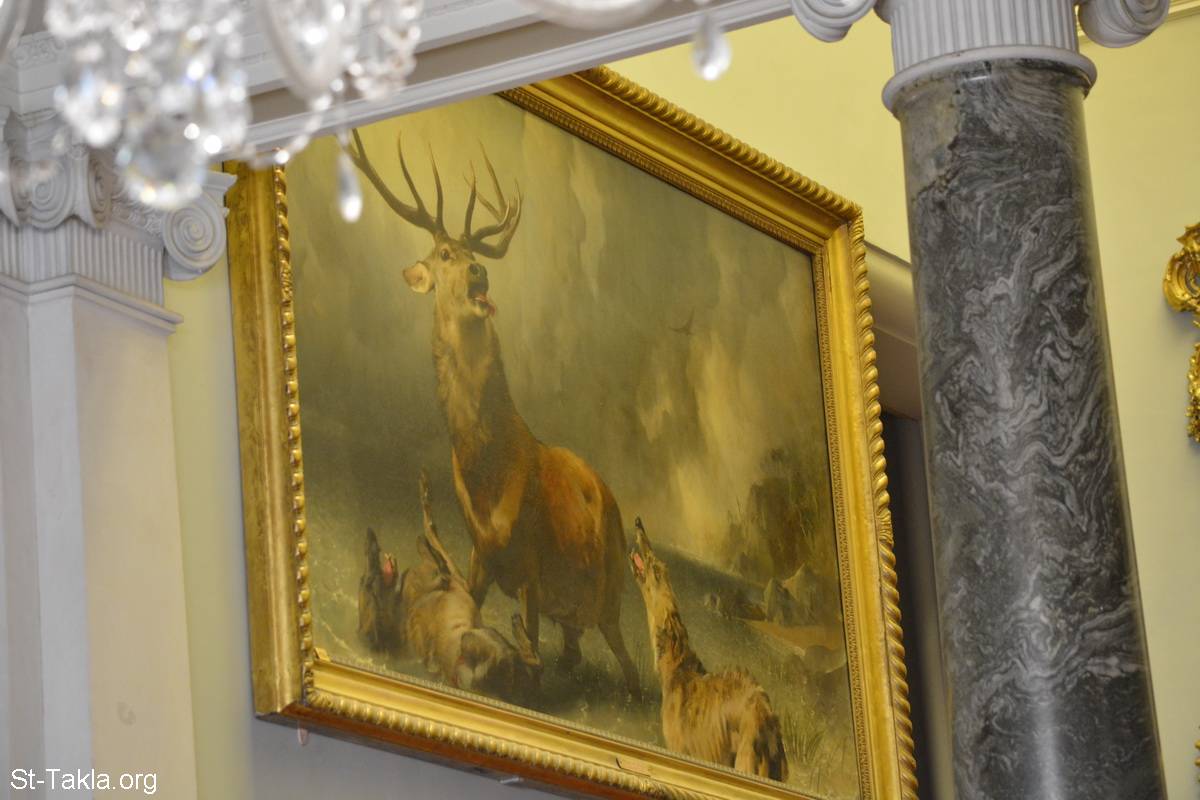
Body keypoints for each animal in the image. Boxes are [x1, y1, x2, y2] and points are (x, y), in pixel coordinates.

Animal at [345, 129, 641, 698]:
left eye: (475, 255)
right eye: (444, 252)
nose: (479, 270)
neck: (488, 466)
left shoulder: (530, 562)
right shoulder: (480, 552)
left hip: (613, 585)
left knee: (626, 655)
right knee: (572, 642)